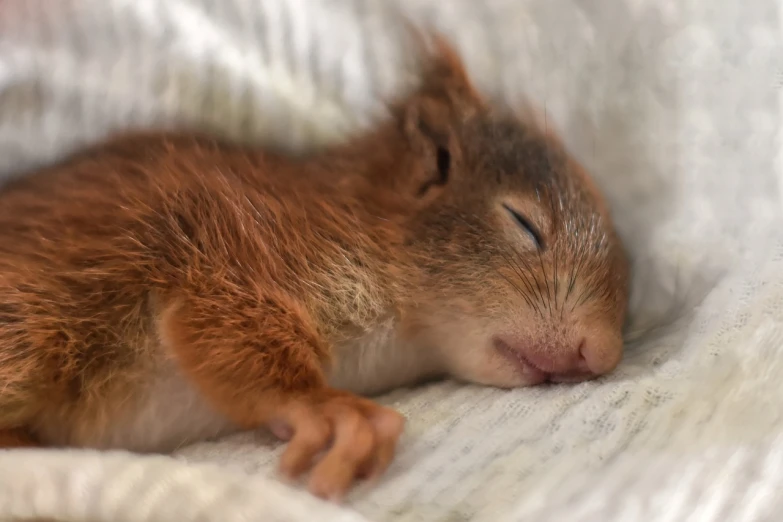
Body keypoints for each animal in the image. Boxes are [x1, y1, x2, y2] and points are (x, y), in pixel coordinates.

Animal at [0, 35, 632, 496]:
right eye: (524, 223)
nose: (600, 353)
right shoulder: (222, 242)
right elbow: (222, 320)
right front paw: (321, 407)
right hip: (33, 323)